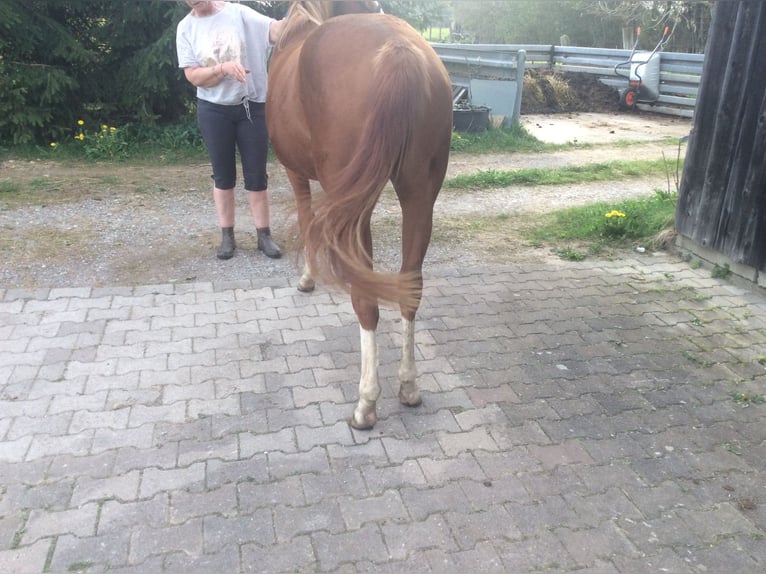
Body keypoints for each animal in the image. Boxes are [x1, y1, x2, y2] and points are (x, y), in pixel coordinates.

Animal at [268, 1, 452, 432]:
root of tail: (399, 51)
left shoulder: (296, 174)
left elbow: (306, 221)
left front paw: (307, 279)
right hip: (420, 194)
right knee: (410, 287)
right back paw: (409, 386)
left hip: (356, 208)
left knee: (366, 300)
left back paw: (366, 403)